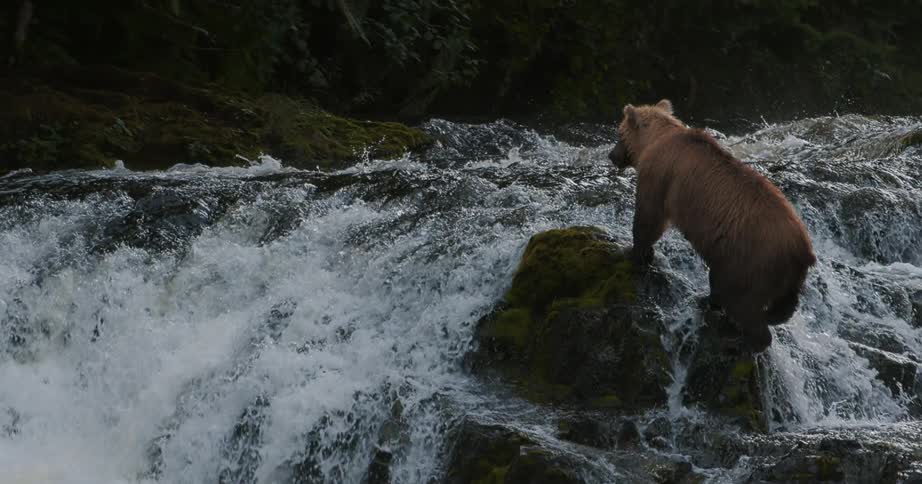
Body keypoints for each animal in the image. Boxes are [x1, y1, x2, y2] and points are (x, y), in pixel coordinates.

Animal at [609, 99, 816, 351]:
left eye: (619, 133)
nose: (611, 155)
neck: (656, 139)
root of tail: (803, 249)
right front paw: (645, 254)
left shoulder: (659, 175)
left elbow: (649, 217)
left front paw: (633, 252)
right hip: (777, 273)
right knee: (776, 305)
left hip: (752, 260)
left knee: (740, 300)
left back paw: (740, 340)